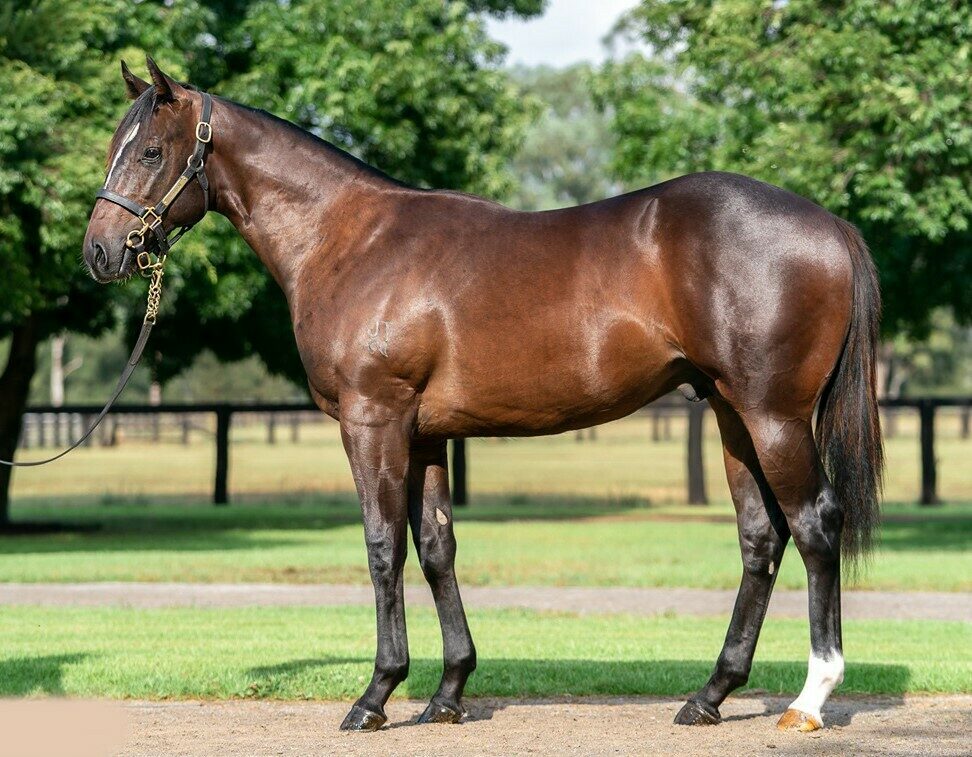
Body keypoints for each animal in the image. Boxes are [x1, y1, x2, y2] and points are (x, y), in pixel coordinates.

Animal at [87, 59, 884, 732]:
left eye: (150, 152)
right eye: (114, 147)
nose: (99, 252)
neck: (350, 239)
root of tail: (827, 224)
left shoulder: (372, 420)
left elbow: (383, 545)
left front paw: (375, 696)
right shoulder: (424, 433)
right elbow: (437, 546)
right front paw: (447, 693)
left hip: (772, 417)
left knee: (815, 525)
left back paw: (809, 700)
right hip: (730, 416)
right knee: (761, 538)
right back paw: (709, 695)